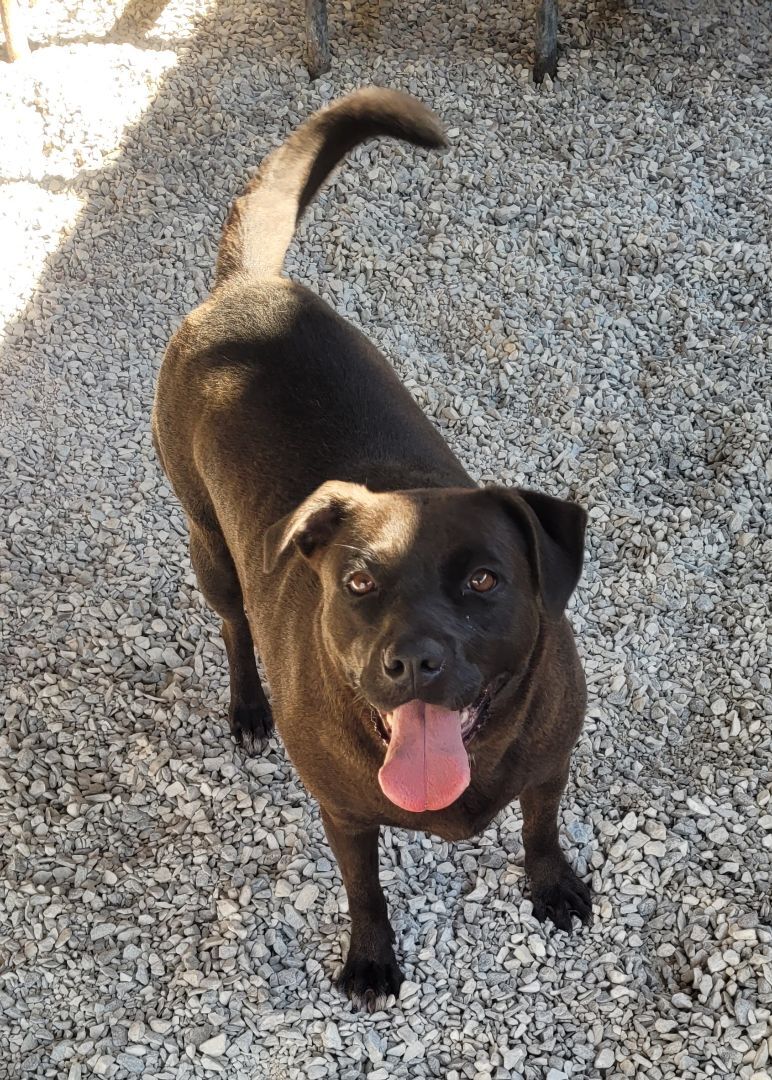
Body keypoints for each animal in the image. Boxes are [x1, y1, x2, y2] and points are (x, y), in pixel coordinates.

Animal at [154, 88, 596, 1006]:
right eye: (357, 583)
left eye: (484, 580)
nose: (412, 661)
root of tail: (245, 284)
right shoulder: (346, 813)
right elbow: (365, 887)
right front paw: (369, 956)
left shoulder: (549, 767)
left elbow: (540, 831)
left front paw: (551, 886)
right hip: (209, 544)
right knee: (233, 626)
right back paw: (247, 707)